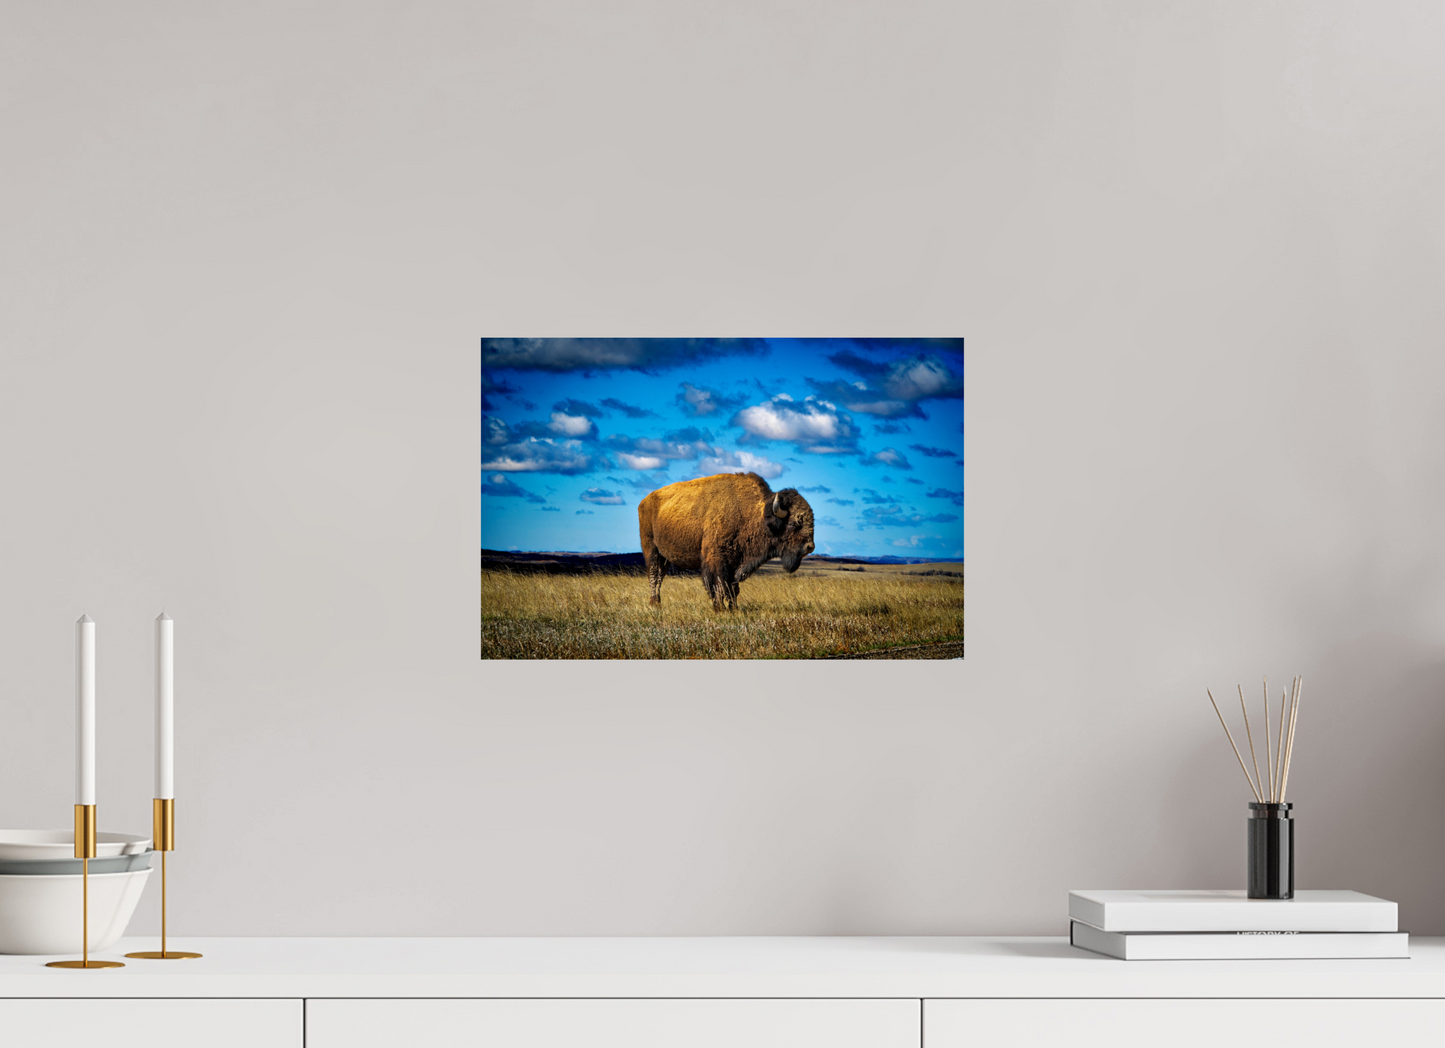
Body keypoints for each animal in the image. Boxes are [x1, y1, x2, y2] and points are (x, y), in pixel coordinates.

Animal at [638, 472, 816, 611]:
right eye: (794, 523)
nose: (810, 547)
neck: (752, 513)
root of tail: (644, 501)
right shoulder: (717, 559)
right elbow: (719, 585)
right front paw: (719, 608)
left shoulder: (736, 563)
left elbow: (732, 587)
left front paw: (733, 608)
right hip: (651, 549)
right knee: (654, 574)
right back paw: (654, 604)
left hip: (664, 557)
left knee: (660, 576)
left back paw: (658, 602)